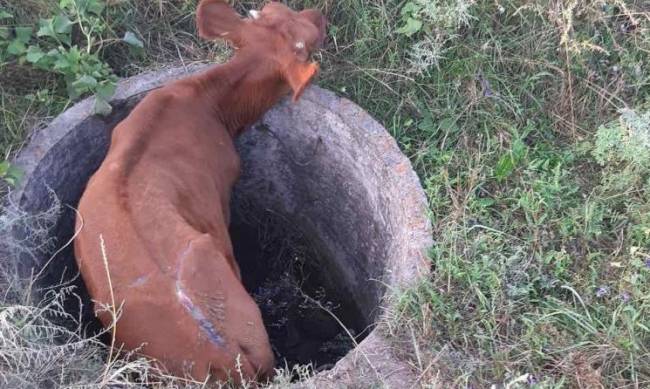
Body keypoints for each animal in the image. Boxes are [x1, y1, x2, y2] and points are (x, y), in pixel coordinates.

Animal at [74, 0, 326, 382]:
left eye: (277, 9)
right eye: (310, 41)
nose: (319, 15)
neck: (205, 101)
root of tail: (224, 354)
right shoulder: (221, 195)